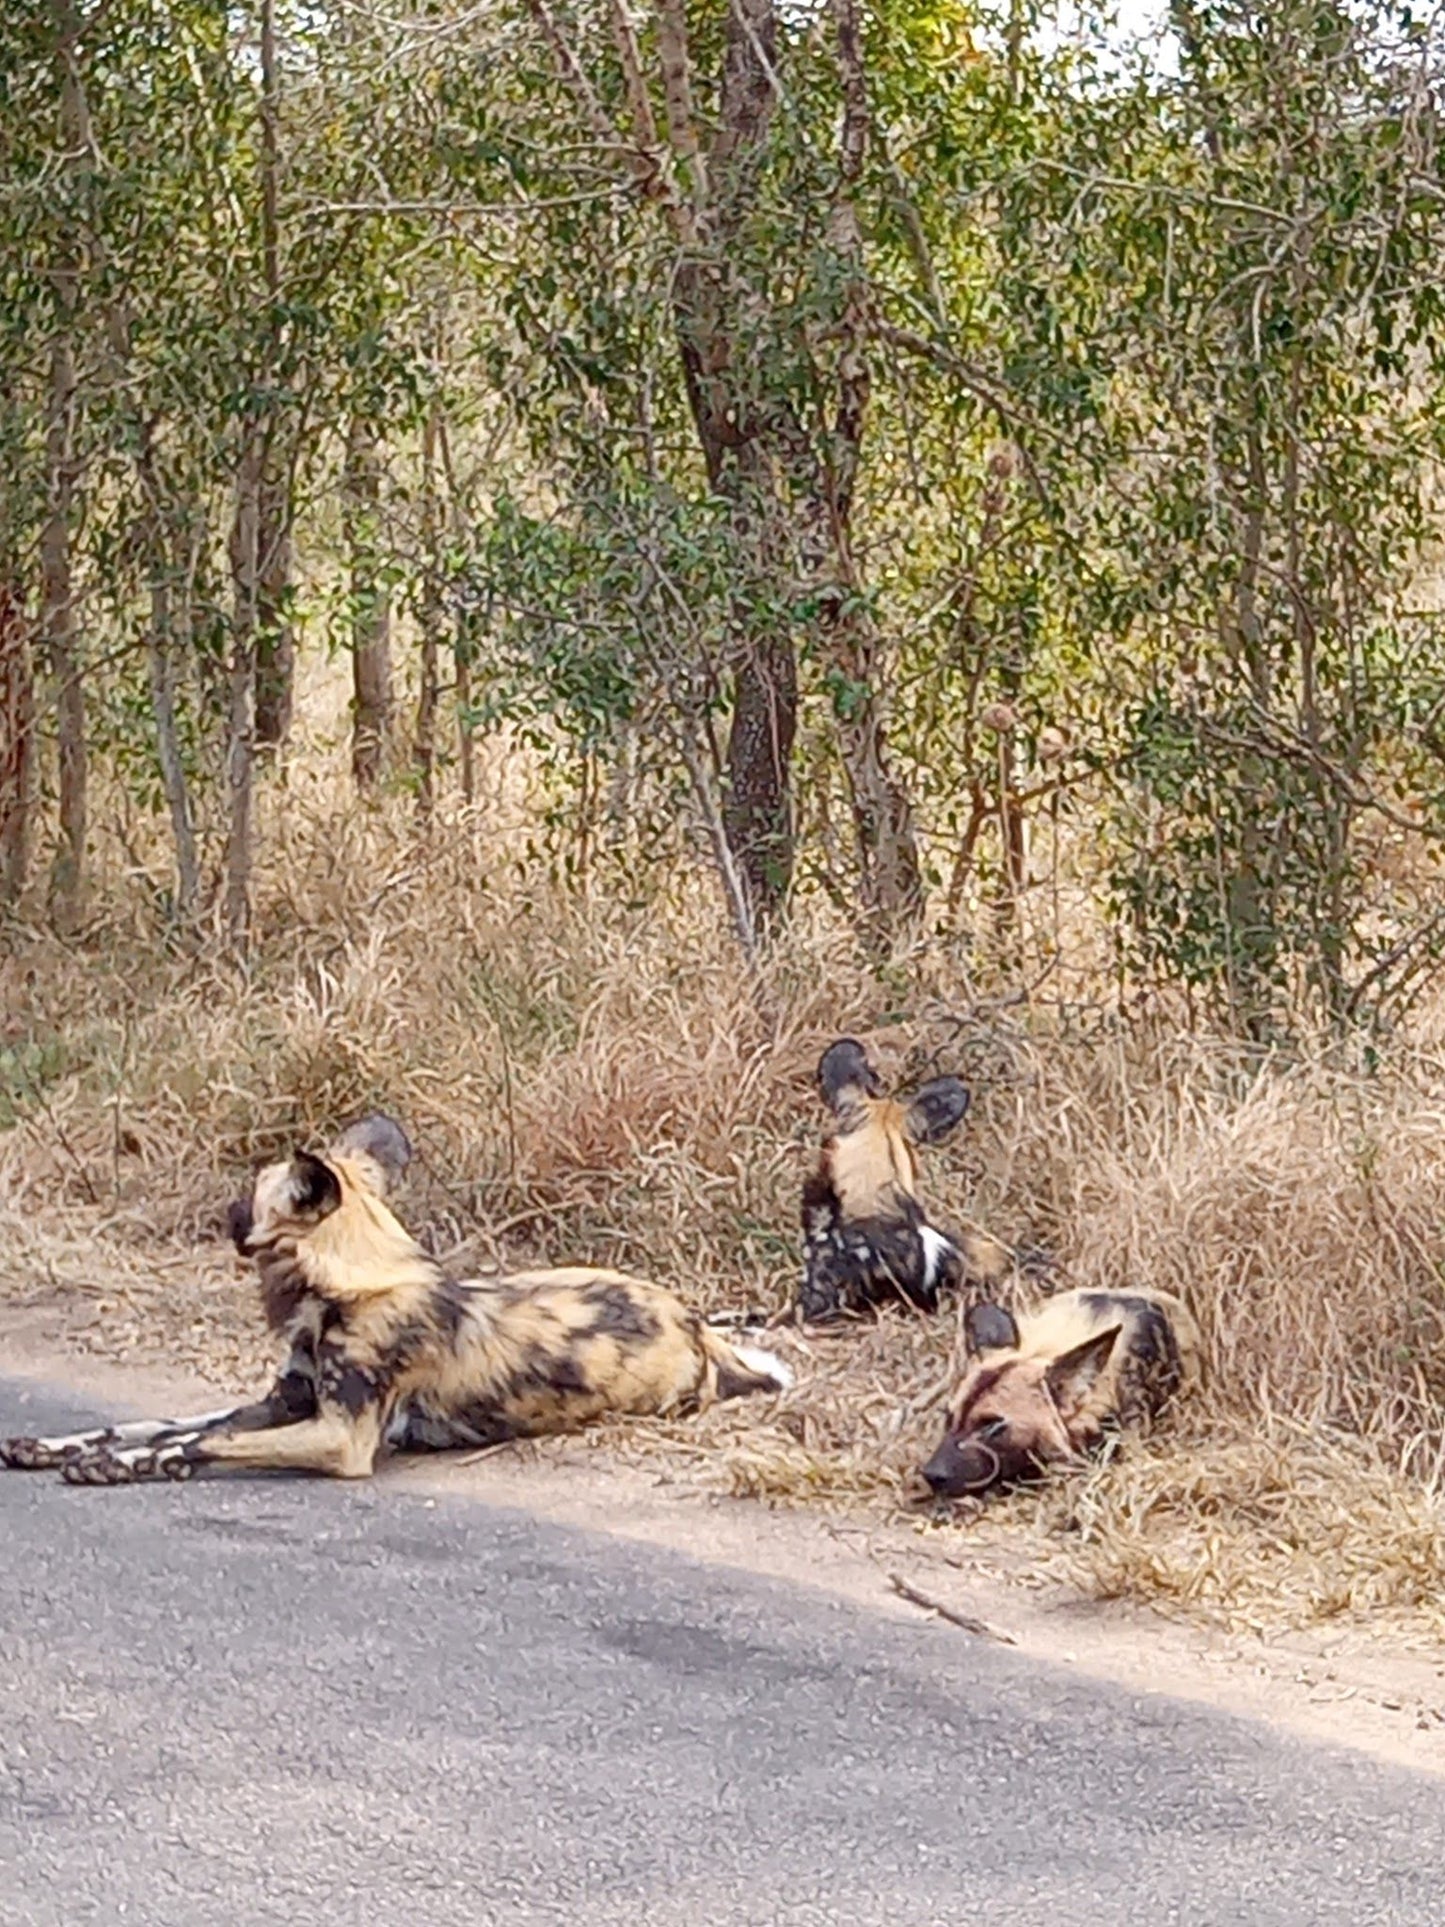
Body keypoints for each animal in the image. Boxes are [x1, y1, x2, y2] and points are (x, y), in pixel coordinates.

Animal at [0, 1117, 793, 1487]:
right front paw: (75, 1449)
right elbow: (157, 1424)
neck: (345, 1283)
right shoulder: (286, 1402)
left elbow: (203, 1439)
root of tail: (697, 1325)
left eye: (250, 1191)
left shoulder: (339, 1436)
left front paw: (146, 1463)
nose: (220, 1209)